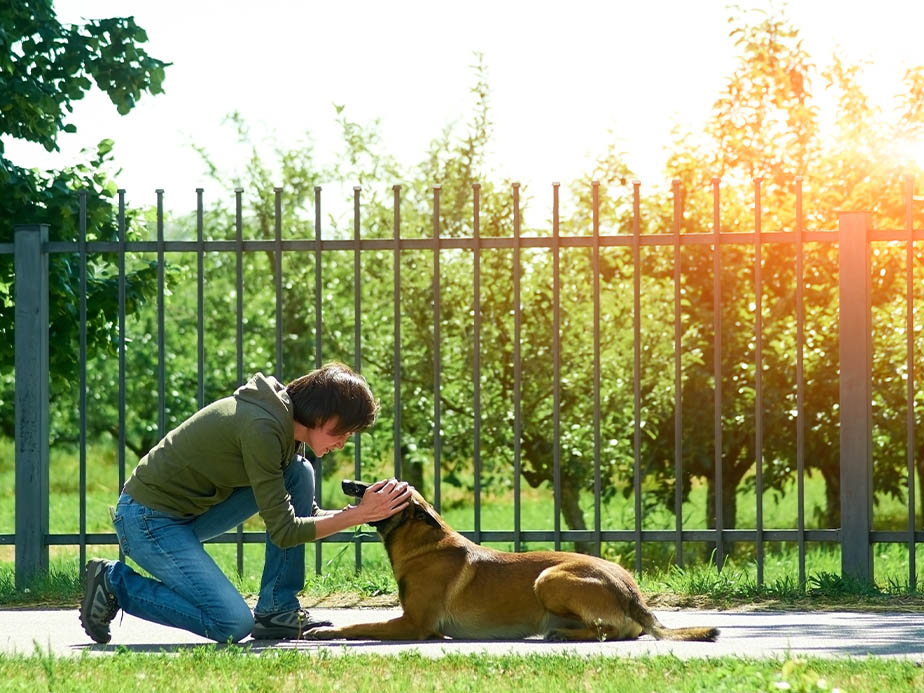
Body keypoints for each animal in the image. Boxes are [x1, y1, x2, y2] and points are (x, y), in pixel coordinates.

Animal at [306, 478, 720, 640]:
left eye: (378, 486)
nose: (346, 483)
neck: (423, 543)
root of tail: (632, 594)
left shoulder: (414, 624)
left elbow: (360, 625)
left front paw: (326, 632)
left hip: (549, 578)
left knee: (609, 631)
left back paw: (563, 635)